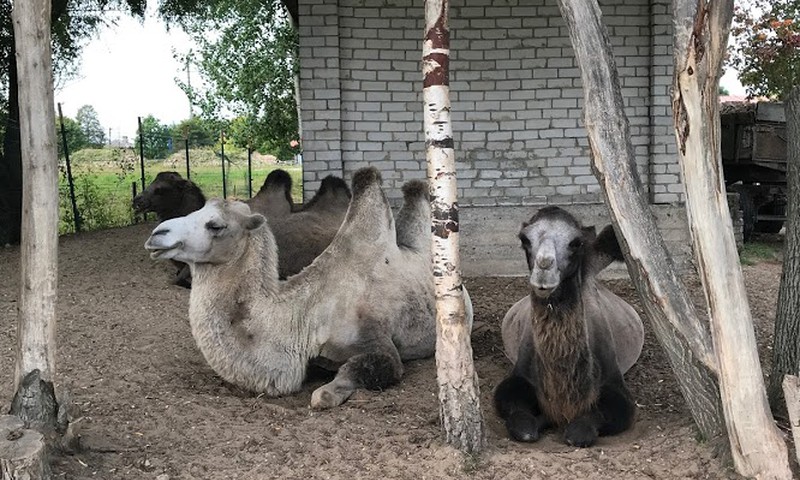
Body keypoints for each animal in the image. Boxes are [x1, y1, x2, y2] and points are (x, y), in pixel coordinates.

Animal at [145, 167, 468, 406]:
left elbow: (343, 380)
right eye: (193, 212)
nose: (156, 235)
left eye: (216, 226)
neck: (306, 319)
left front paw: (328, 391)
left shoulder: (378, 341)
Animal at [494, 208, 644, 448]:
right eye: (524, 239)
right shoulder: (517, 378)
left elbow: (582, 430)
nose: (544, 267)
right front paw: (540, 421)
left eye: (576, 242)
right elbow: (521, 421)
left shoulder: (616, 389)